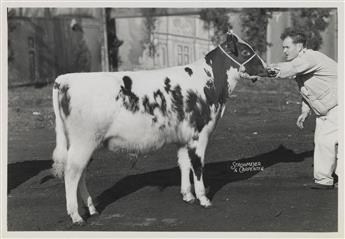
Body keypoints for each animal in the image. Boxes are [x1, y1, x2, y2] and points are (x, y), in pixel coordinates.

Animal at [51, 30, 268, 224]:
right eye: (246, 52)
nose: (268, 69)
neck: (210, 83)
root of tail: (64, 79)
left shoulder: (183, 137)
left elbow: (184, 164)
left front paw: (188, 196)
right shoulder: (199, 134)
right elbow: (198, 165)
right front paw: (203, 198)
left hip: (83, 143)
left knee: (81, 173)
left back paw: (91, 209)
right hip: (84, 140)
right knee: (72, 173)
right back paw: (76, 216)